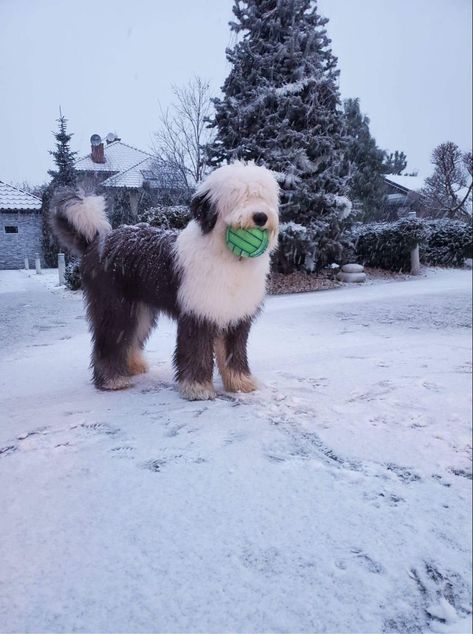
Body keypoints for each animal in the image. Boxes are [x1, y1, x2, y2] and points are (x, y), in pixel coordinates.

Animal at [50, 160, 280, 398]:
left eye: (263, 197)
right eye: (237, 197)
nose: (261, 217)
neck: (227, 257)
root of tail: (96, 241)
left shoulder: (236, 315)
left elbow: (233, 351)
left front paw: (241, 382)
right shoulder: (198, 312)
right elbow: (197, 350)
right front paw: (198, 388)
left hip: (139, 309)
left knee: (130, 337)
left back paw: (132, 366)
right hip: (113, 305)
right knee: (110, 339)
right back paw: (113, 379)